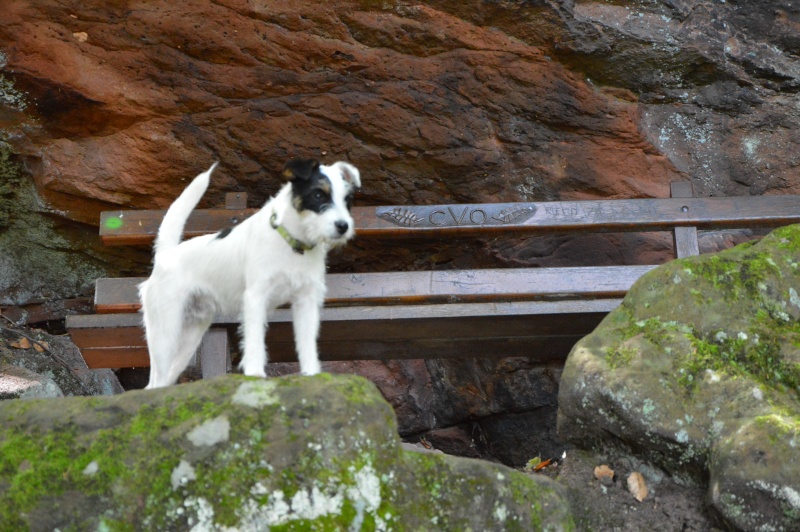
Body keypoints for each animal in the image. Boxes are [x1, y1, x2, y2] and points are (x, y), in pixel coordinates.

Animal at [139, 158, 360, 386]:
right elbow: (254, 339)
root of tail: (166, 255)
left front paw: (312, 375)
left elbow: (306, 343)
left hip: (190, 338)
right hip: (165, 333)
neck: (291, 242)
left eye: (347, 199)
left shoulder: (306, 300)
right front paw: (255, 373)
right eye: (318, 195)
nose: (343, 226)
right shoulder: (256, 297)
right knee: (154, 382)